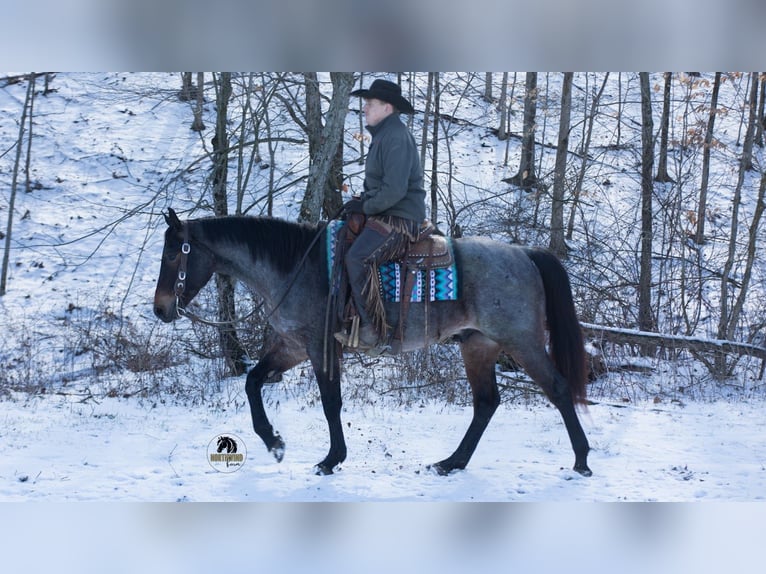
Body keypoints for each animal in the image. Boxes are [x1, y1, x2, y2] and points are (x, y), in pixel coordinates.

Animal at [153, 208, 592, 477]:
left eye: (174, 254)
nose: (160, 309)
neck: (296, 267)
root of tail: (526, 253)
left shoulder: (320, 347)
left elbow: (330, 402)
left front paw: (331, 459)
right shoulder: (291, 346)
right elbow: (252, 381)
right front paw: (274, 442)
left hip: (522, 341)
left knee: (557, 388)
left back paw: (582, 460)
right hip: (478, 345)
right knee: (486, 403)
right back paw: (451, 463)